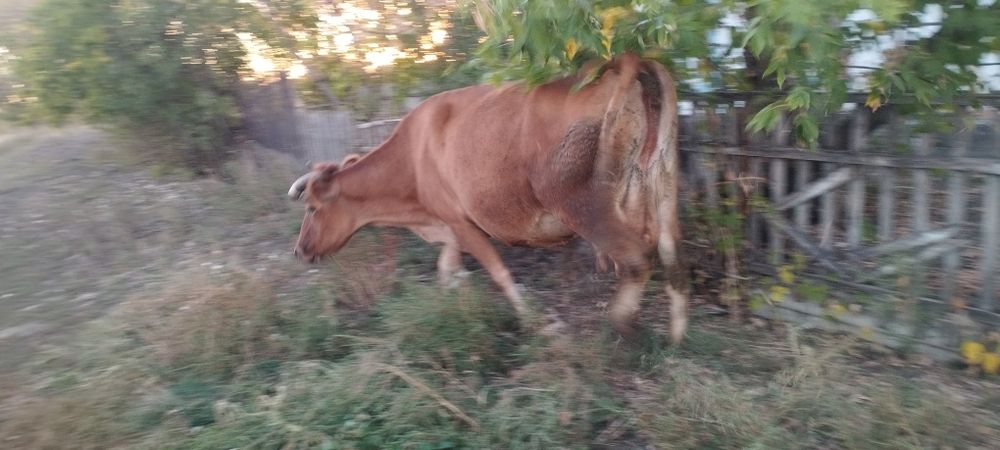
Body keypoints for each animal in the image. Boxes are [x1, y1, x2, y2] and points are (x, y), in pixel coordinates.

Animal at [288, 53, 689, 343]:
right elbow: (447, 268)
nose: (299, 251)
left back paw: (623, 325)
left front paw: (536, 322)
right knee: (672, 254)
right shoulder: (448, 225)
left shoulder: (462, 222)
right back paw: (676, 336)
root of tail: (624, 61)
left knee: (638, 259)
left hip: (582, 204)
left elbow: (498, 272)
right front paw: (450, 306)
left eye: (312, 208)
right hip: (663, 181)